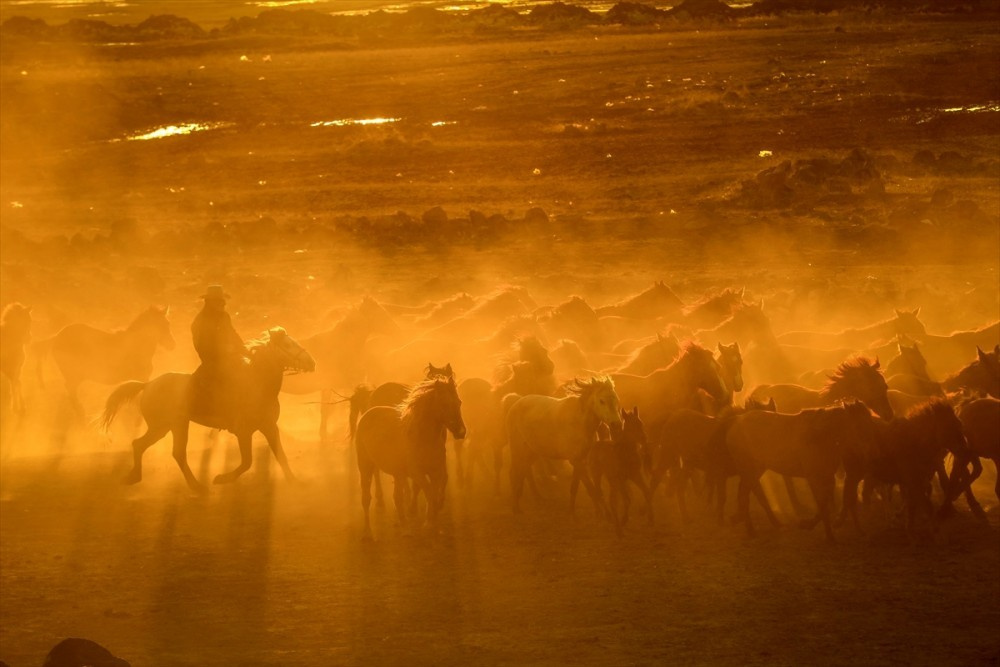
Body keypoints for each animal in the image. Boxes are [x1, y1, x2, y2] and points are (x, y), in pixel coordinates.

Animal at [35, 306, 174, 412]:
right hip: (74, 375)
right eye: (164, 324)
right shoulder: (141, 378)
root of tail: (57, 336)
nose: (172, 344)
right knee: (71, 392)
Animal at [101, 330, 312, 494]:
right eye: (287, 344)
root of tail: (148, 384)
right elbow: (247, 462)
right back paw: (197, 487)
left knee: (143, 446)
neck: (258, 383)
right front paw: (222, 478)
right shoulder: (244, 432)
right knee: (171, 451)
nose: (312, 362)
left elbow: (281, 456)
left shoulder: (269, 427)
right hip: (171, 425)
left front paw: (295, 482)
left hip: (166, 427)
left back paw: (135, 477)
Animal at [724, 402, 880, 544]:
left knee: (747, 493)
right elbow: (823, 505)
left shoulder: (828, 477)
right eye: (859, 426)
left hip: (756, 470)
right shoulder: (814, 478)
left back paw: (766, 524)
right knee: (746, 495)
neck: (822, 437)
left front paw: (809, 525)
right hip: (748, 469)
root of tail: (736, 423)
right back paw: (751, 529)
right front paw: (828, 536)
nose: (871, 454)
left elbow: (826, 504)